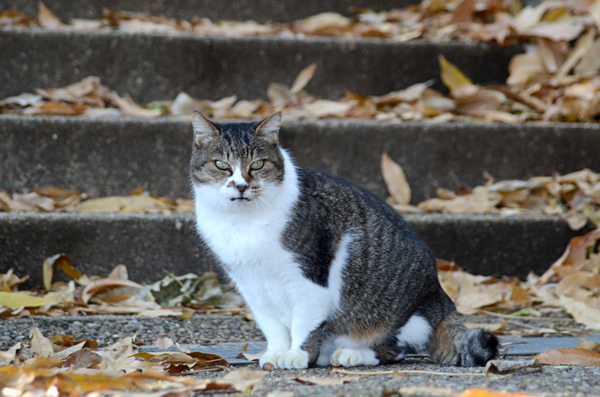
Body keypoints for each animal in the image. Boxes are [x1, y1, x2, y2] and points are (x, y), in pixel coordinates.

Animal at [190, 111, 500, 368]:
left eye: (257, 164)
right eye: (222, 165)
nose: (241, 186)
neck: (243, 223)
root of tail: (441, 297)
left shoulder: (309, 279)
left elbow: (305, 324)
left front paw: (297, 356)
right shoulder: (251, 285)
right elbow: (272, 326)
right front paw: (277, 352)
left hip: (404, 318)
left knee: (394, 349)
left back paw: (352, 354)